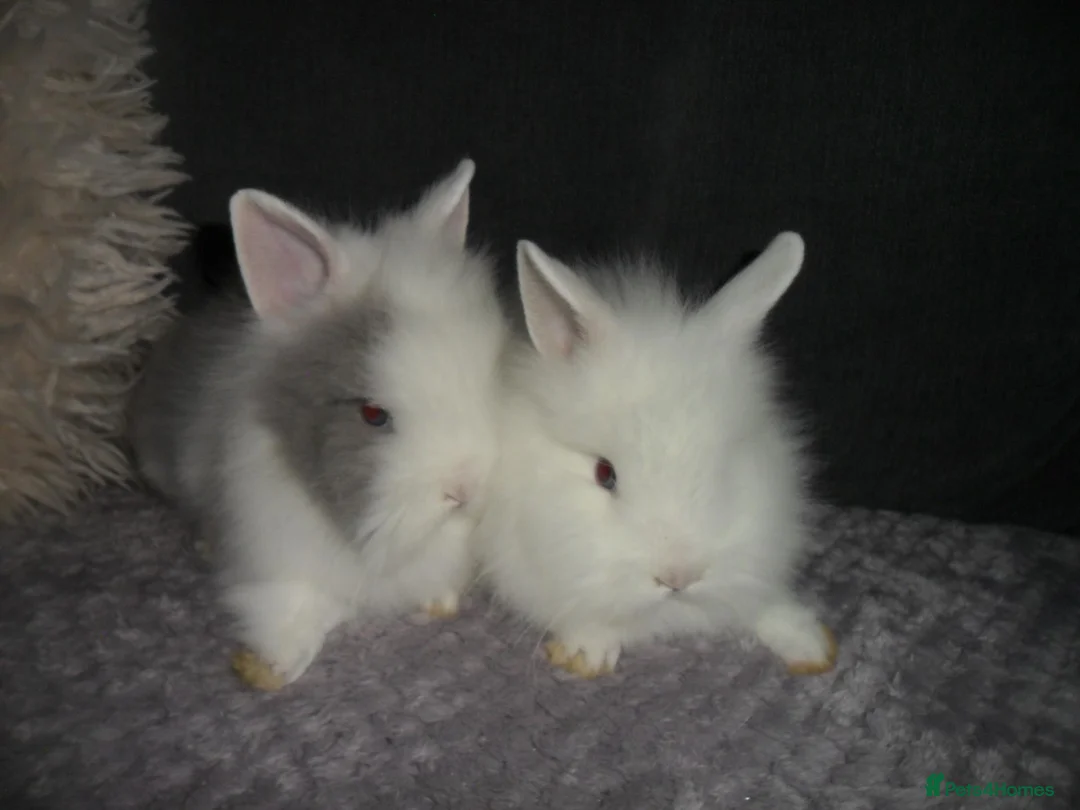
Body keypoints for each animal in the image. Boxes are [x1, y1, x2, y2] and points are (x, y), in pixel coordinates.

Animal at [129, 158, 507, 688]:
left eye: (492, 374)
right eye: (373, 414)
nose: (465, 489)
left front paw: (440, 600)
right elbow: (296, 603)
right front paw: (275, 665)